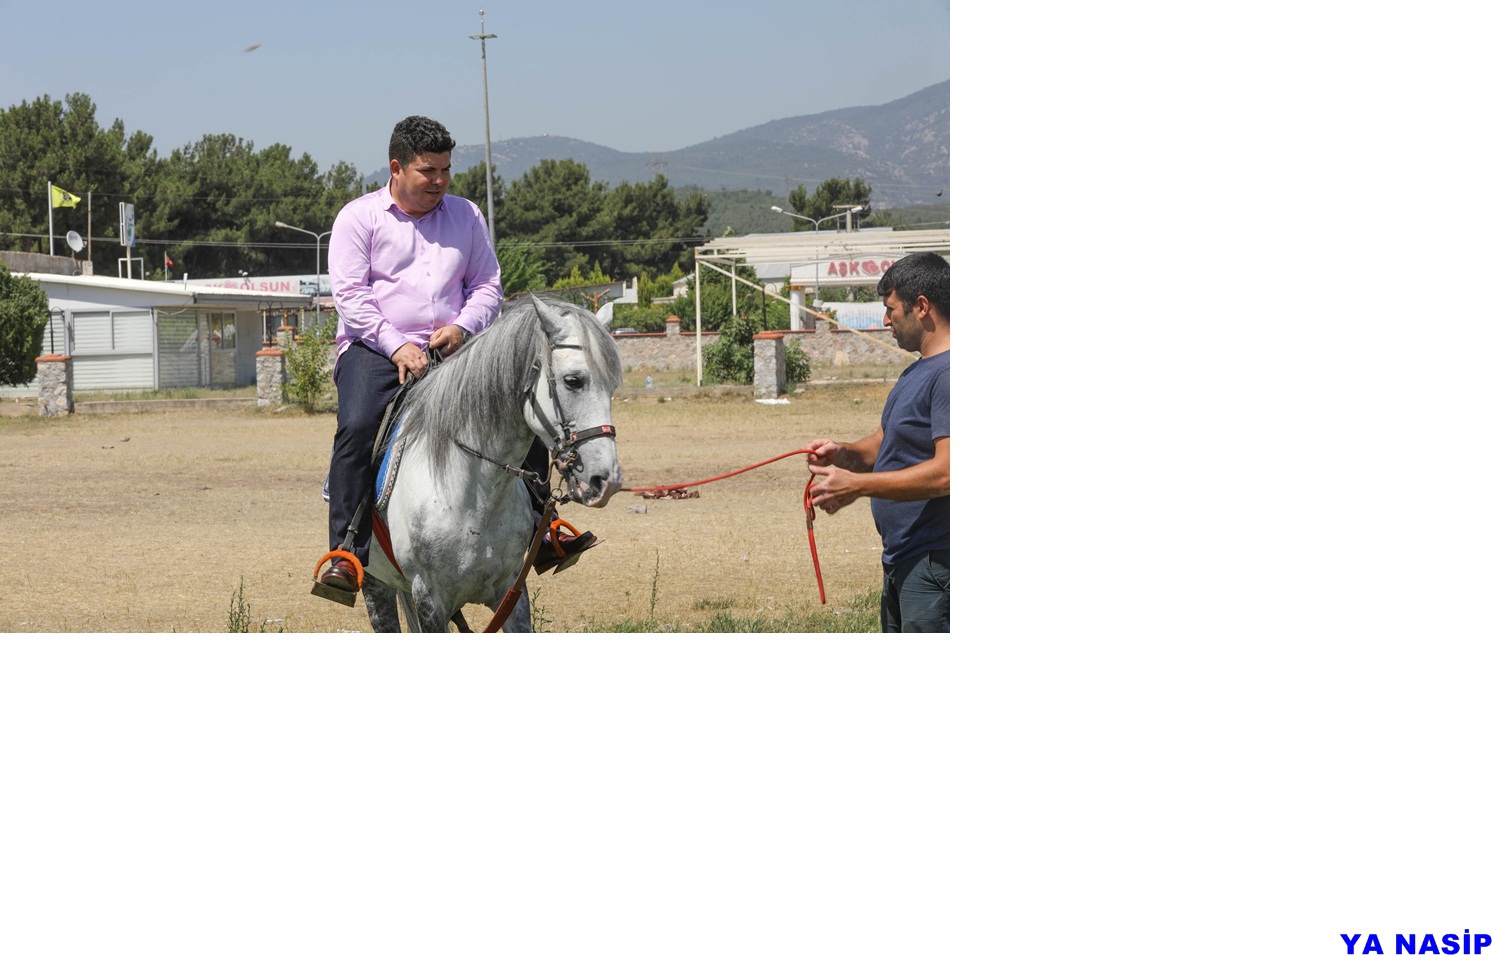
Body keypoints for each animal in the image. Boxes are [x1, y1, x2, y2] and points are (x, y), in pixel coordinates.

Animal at [361, 295, 623, 629]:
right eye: (573, 381)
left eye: (613, 386)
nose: (607, 481)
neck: (474, 497)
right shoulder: (429, 600)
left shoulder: (511, 592)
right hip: (376, 584)